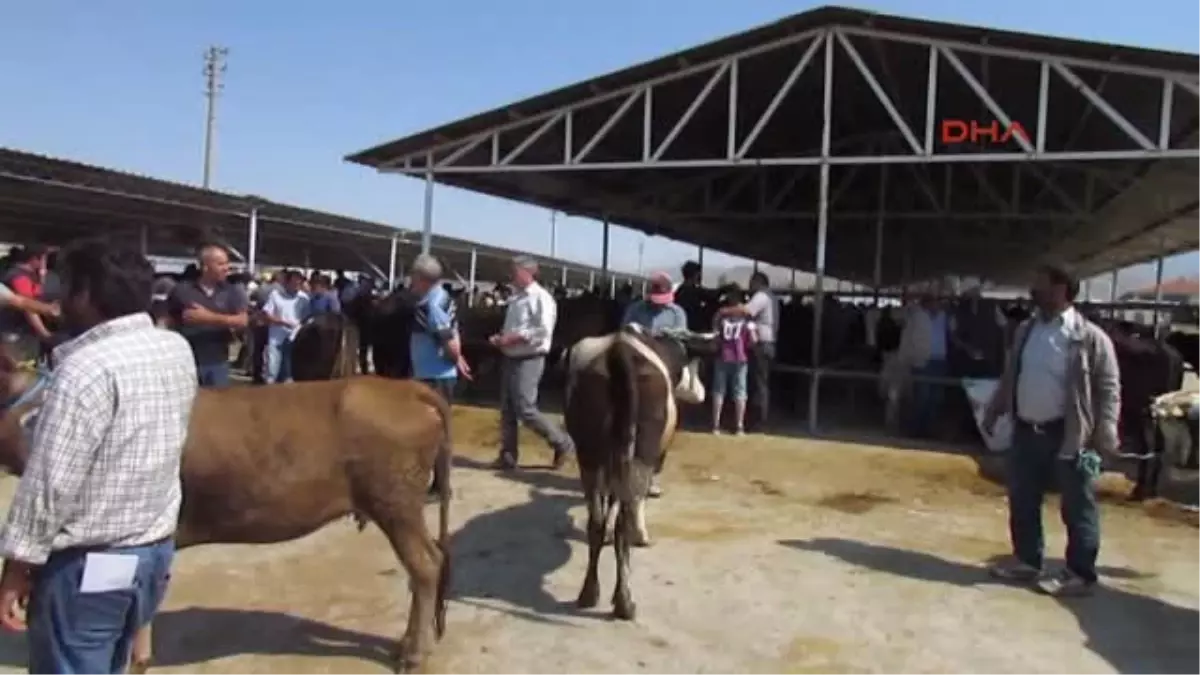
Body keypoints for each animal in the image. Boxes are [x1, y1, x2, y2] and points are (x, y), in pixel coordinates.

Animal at [564, 324, 705, 619]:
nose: (701, 392)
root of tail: (620, 350)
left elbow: (611, 502)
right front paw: (643, 534)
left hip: (589, 454)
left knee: (596, 521)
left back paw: (589, 593)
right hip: (641, 452)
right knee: (625, 522)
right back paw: (624, 601)